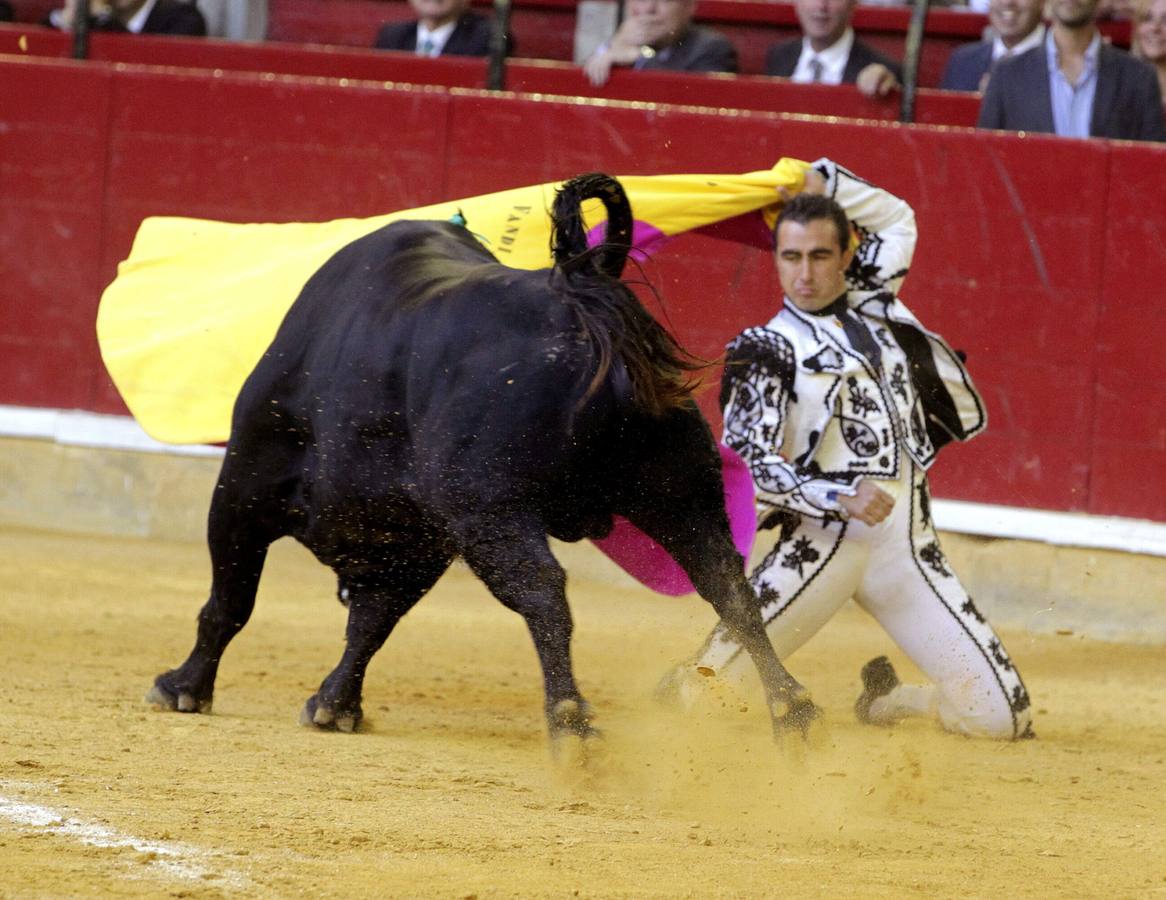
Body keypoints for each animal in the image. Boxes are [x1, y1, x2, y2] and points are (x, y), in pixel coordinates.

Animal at [145, 172, 820, 750]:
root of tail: (585, 294)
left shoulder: (245, 484)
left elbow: (231, 602)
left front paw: (183, 688)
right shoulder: (416, 541)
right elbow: (370, 624)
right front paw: (336, 705)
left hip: (492, 510)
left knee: (544, 591)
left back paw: (571, 726)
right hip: (680, 492)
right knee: (730, 587)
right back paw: (792, 715)